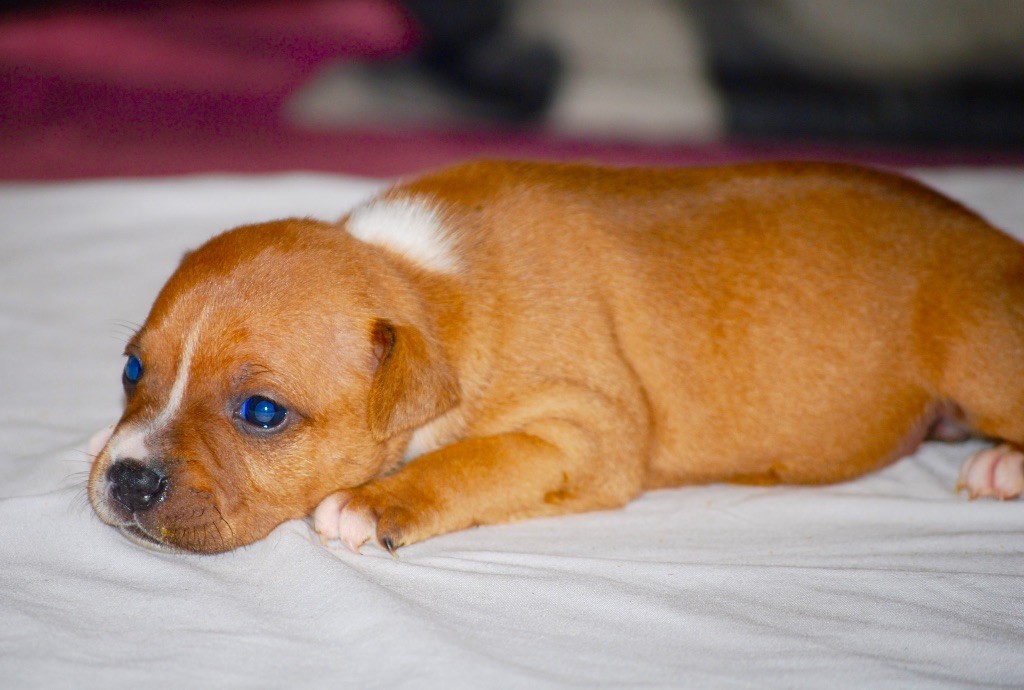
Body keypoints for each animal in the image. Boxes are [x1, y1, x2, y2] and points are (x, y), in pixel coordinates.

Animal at [87, 160, 1024, 555]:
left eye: (261, 413)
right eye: (132, 371)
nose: (127, 480)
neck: (426, 286)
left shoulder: (585, 432)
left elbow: (470, 460)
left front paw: (374, 503)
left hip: (980, 358)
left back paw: (1001, 466)